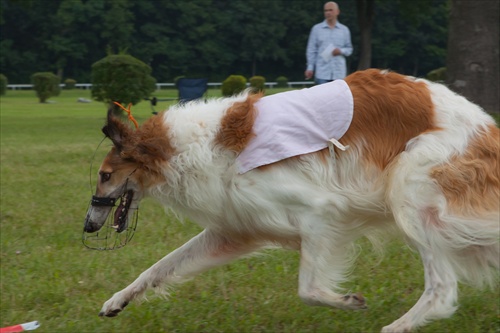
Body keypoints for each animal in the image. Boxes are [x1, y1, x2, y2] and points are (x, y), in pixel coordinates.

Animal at [84, 68, 498, 330]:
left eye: (105, 176)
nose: (87, 226)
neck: (191, 146)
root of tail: (485, 125)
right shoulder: (233, 229)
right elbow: (158, 268)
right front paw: (116, 301)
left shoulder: (319, 213)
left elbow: (309, 290)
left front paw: (348, 301)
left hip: (412, 196)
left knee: (442, 288)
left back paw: (396, 327)